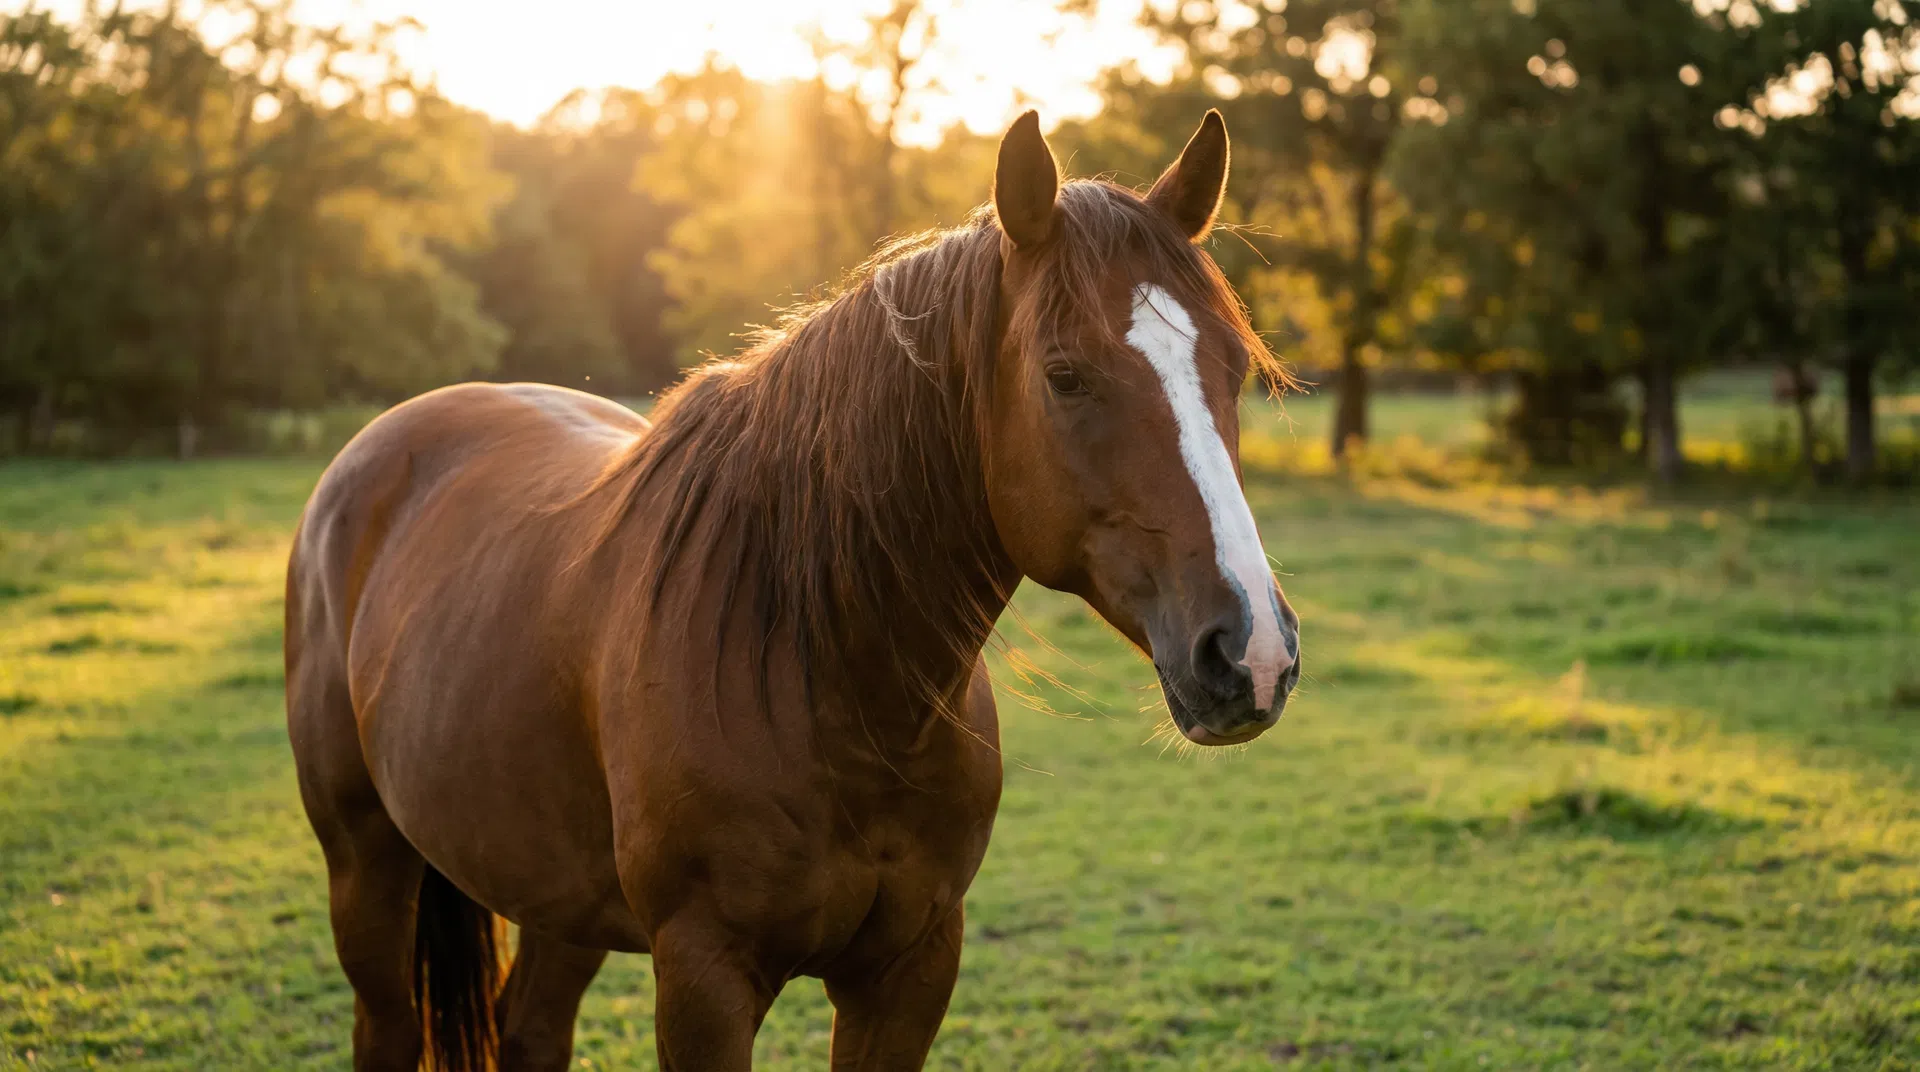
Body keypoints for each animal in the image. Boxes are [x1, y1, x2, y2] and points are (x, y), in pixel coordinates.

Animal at [285, 109, 1302, 1072]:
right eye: (1064, 375)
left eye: (1234, 367)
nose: (1251, 652)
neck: (829, 679)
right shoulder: (704, 980)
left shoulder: (911, 969)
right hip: (367, 867)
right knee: (386, 1030)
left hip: (553, 892)